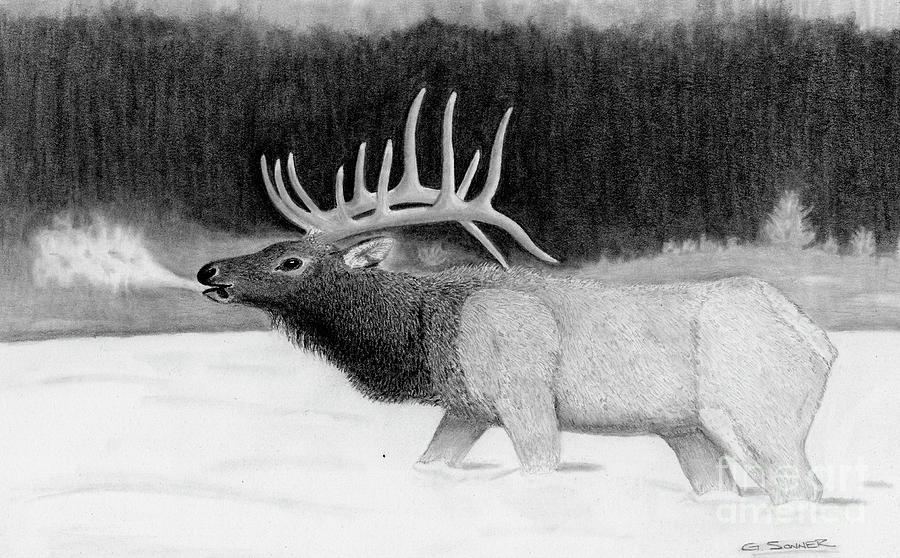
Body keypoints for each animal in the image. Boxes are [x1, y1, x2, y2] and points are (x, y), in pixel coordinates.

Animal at [198, 89, 837, 504]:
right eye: (275, 245)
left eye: (291, 261)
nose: (210, 270)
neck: (431, 338)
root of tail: (819, 340)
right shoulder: (466, 409)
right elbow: (430, 462)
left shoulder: (523, 396)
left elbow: (540, 467)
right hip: (692, 432)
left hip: (758, 415)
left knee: (800, 484)